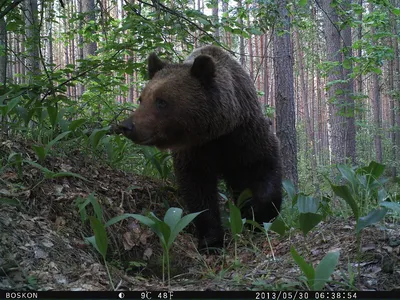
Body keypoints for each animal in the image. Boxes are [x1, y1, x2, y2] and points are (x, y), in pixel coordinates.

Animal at [119, 44, 282, 251]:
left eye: (161, 101)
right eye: (142, 98)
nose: (127, 126)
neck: (217, 132)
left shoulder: (245, 136)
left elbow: (264, 166)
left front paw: (257, 216)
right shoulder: (195, 150)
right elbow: (198, 189)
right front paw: (211, 240)